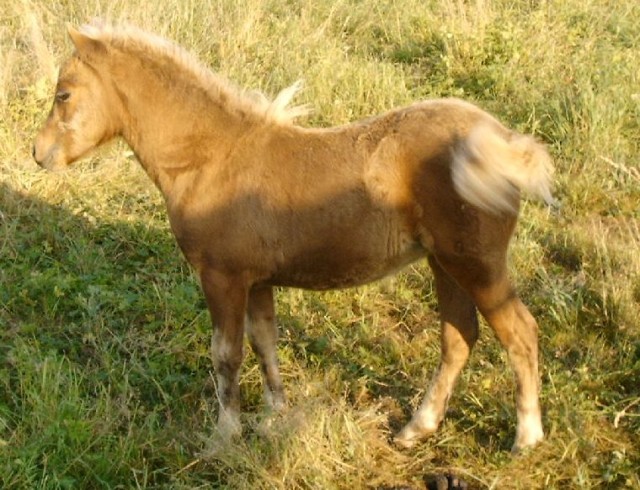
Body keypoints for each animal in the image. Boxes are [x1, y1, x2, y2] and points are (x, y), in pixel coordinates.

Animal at [33, 22, 553, 453]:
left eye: (64, 94)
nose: (39, 154)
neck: (210, 158)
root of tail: (502, 140)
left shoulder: (222, 277)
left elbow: (226, 354)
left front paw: (223, 438)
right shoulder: (258, 280)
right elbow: (266, 343)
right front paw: (273, 418)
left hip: (476, 263)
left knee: (520, 332)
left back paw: (526, 437)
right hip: (443, 263)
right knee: (459, 336)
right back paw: (415, 429)